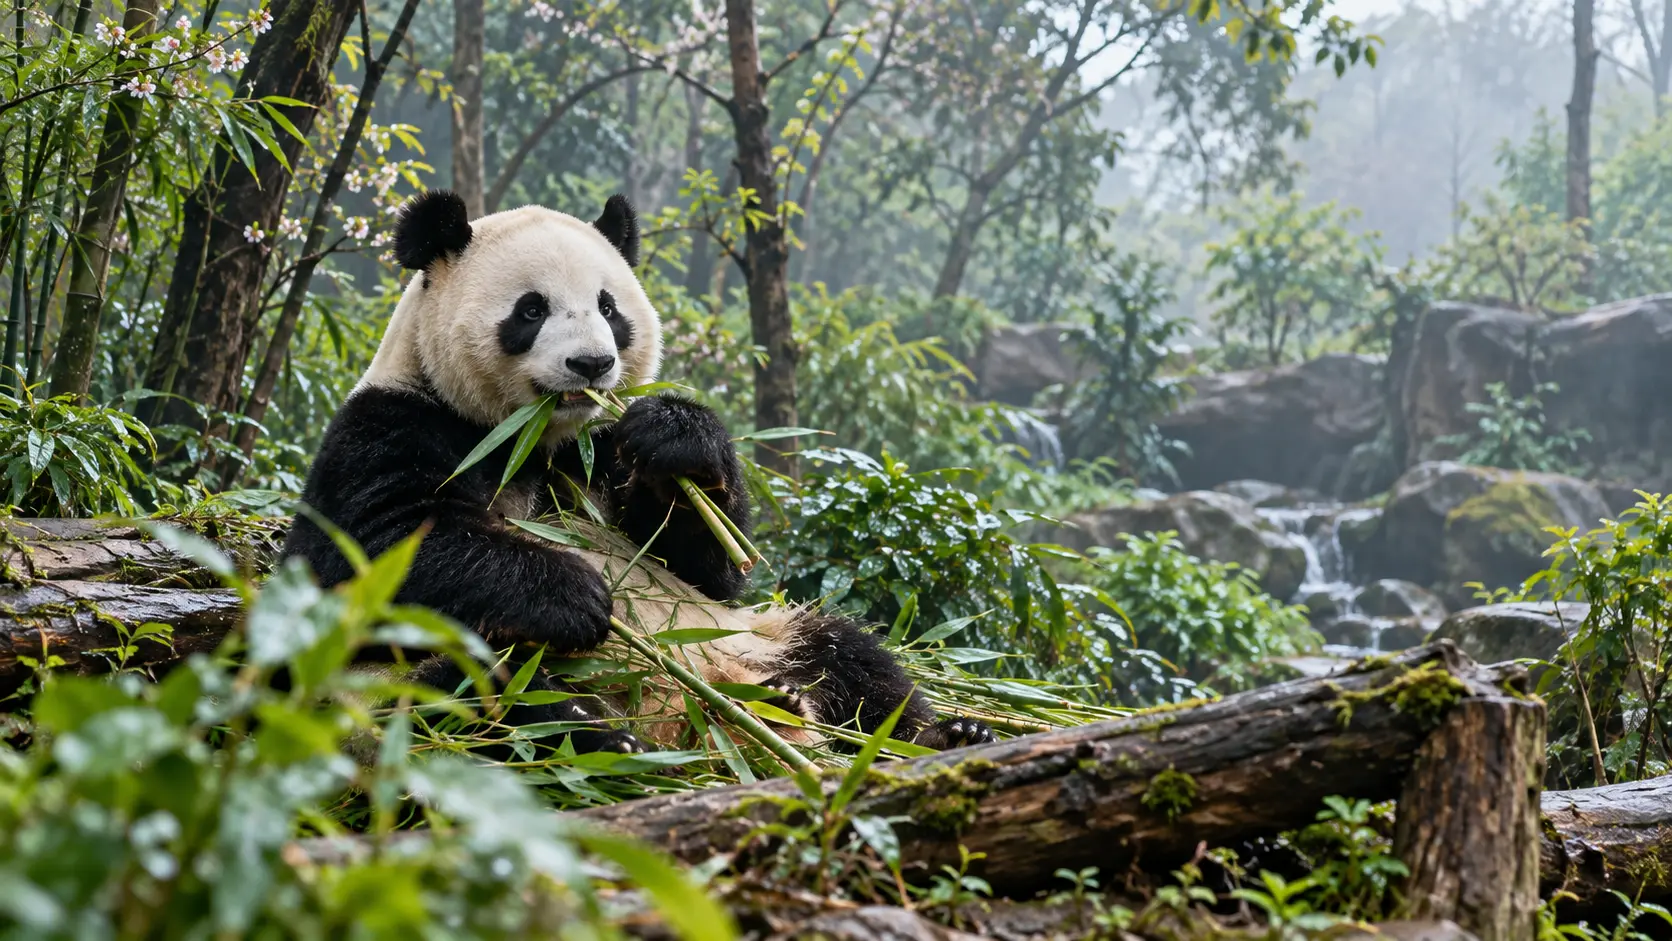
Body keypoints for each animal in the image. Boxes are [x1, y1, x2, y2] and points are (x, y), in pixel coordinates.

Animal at [280, 189, 994, 757]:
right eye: (531, 310)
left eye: (608, 307)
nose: (592, 365)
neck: (532, 438)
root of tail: (680, 724)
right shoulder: (394, 425)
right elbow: (373, 550)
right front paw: (576, 596)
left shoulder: (598, 455)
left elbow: (701, 561)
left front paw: (675, 439)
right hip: (408, 689)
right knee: (473, 693)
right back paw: (592, 731)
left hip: (758, 635)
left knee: (851, 656)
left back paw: (931, 730)